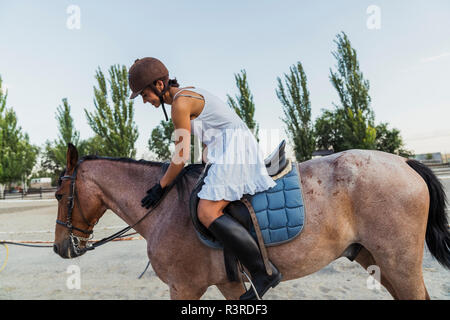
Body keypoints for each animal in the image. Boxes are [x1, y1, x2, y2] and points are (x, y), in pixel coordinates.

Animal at [53, 144, 450, 298]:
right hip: (375, 259)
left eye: (58, 195)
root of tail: (403, 161)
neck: (164, 208)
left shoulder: (184, 288)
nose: (60, 248)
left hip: (399, 264)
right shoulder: (228, 283)